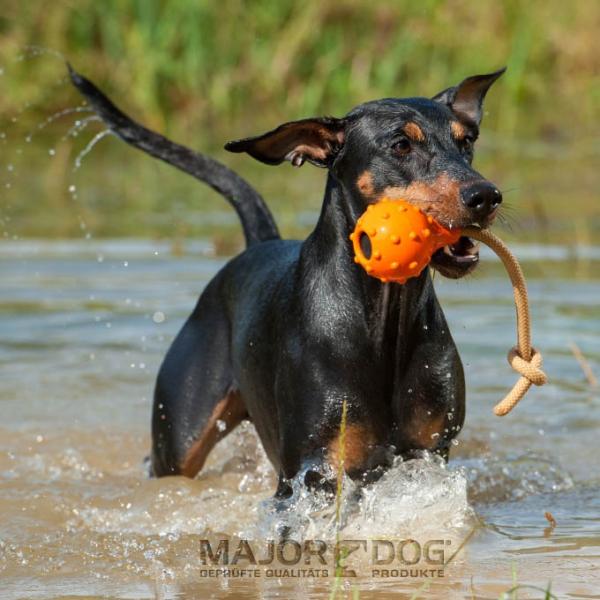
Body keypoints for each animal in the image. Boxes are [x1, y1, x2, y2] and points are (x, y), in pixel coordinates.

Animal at [68, 64, 504, 496]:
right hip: (179, 434)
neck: (383, 313)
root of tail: (259, 244)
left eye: (467, 141)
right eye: (400, 145)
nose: (486, 195)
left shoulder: (430, 452)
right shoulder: (309, 471)